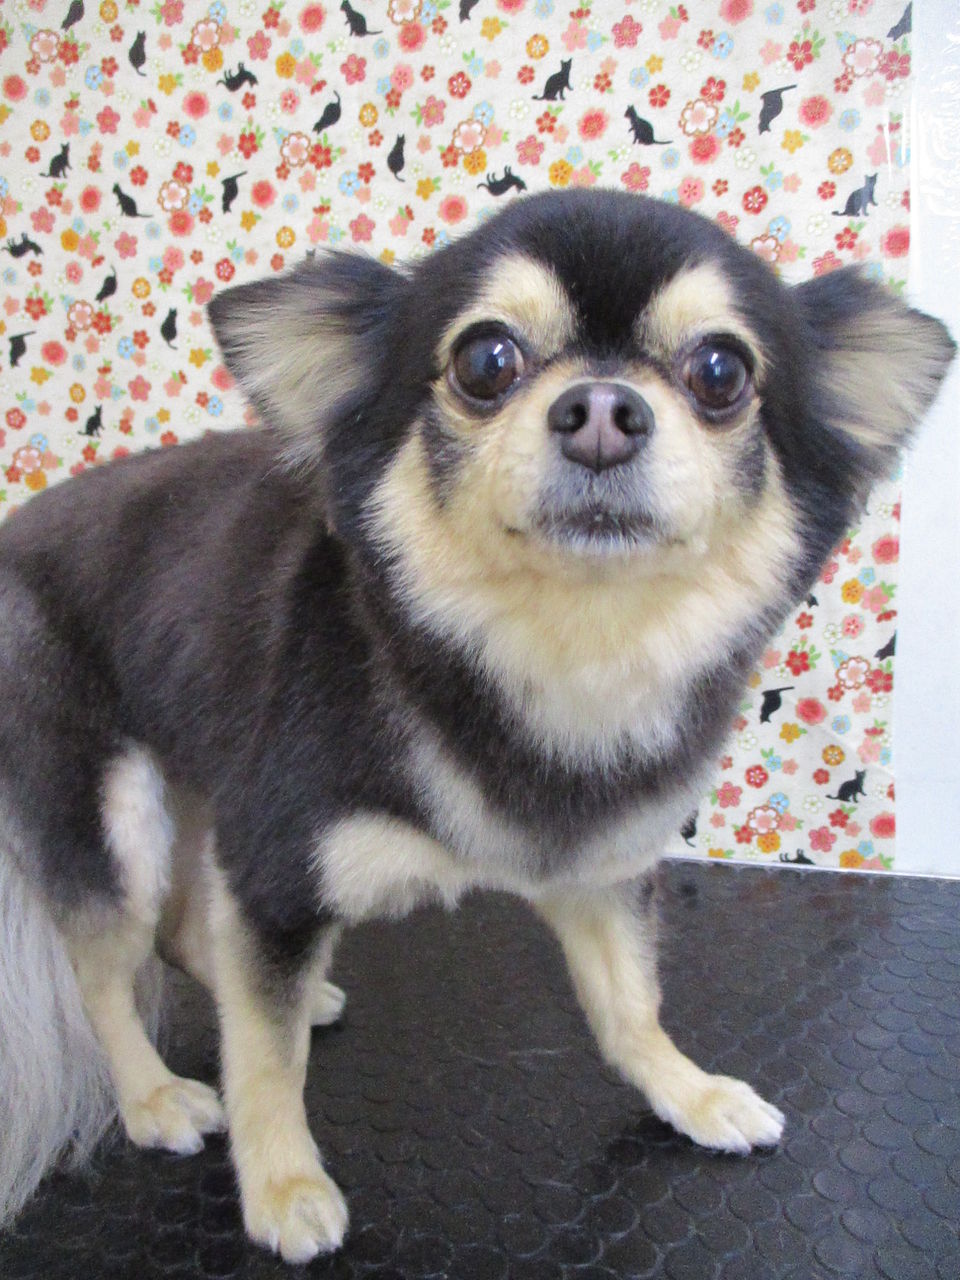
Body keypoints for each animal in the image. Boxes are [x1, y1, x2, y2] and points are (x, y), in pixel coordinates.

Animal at [0, 190, 953, 1263]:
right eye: (486, 359)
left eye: (721, 371)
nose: (602, 411)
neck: (549, 657)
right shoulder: (277, 858)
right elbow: (264, 1065)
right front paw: (283, 1184)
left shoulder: (598, 870)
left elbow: (630, 1005)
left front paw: (689, 1090)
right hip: (112, 811)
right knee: (108, 968)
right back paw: (153, 1096)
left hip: (208, 783)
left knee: (190, 933)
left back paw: (299, 998)